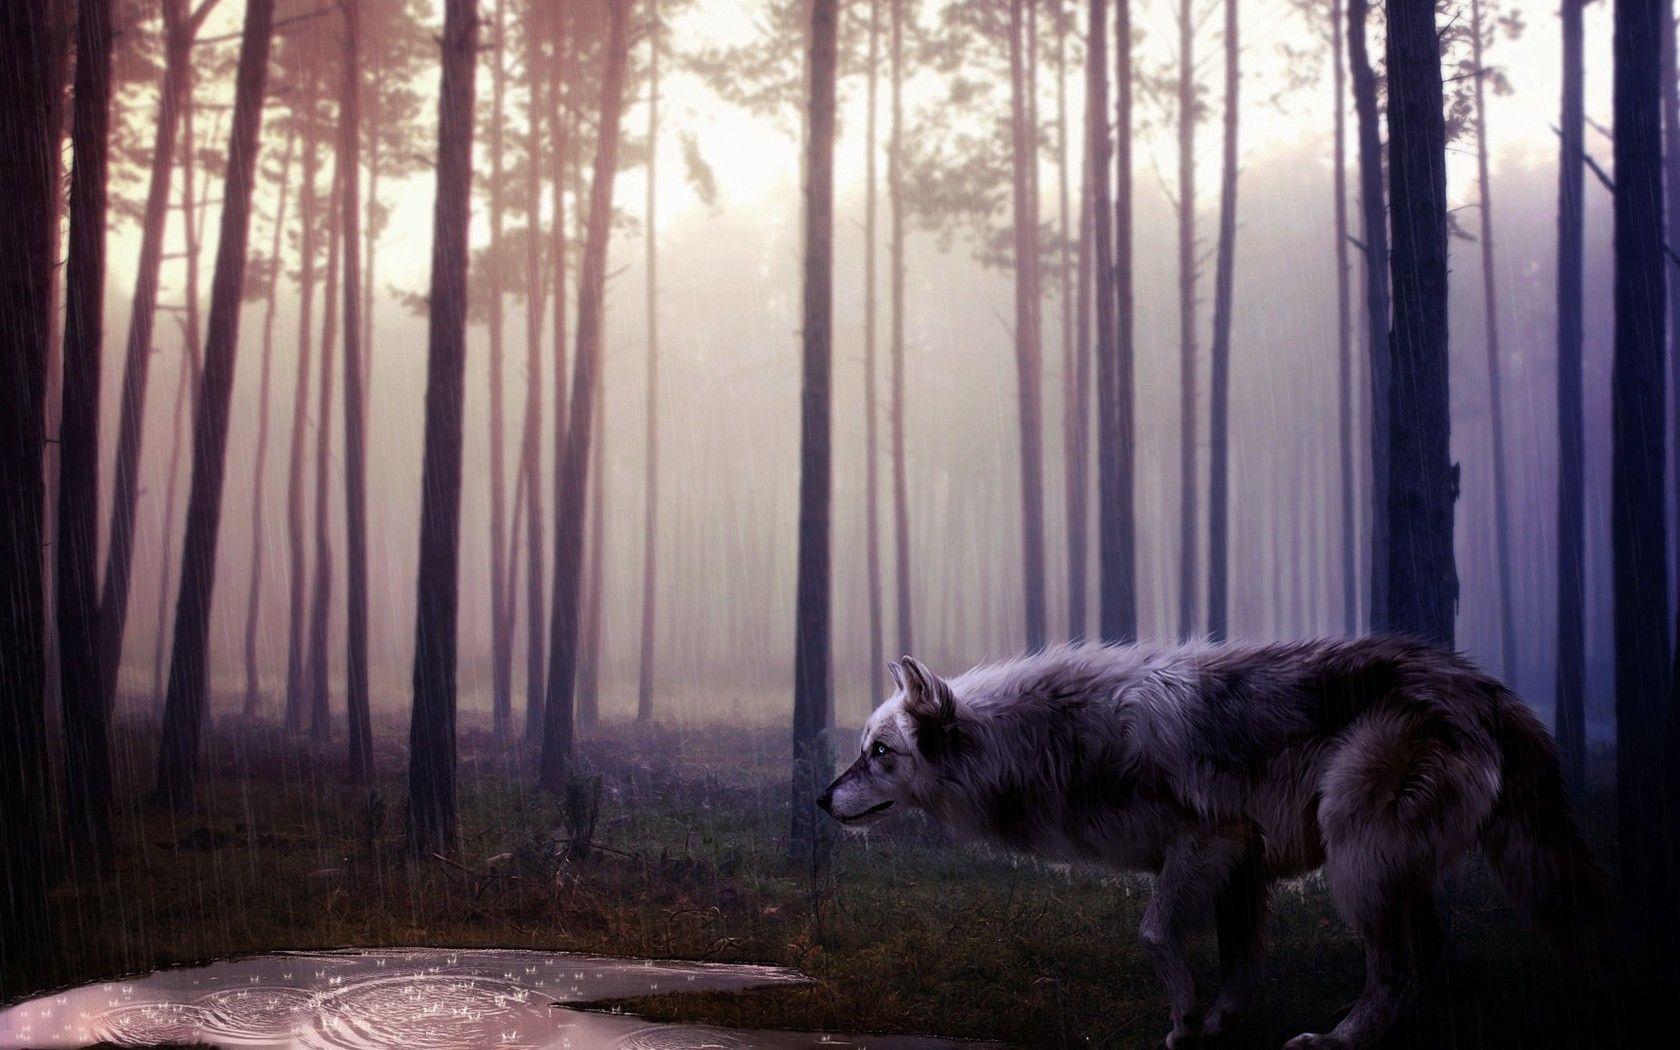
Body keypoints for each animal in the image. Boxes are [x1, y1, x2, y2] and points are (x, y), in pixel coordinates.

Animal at [817, 637, 1611, 1048]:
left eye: (879, 753)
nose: (821, 799)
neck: (1057, 740)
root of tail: (1484, 687)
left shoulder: (1210, 842)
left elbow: (1153, 933)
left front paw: (1183, 1017)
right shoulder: (1243, 867)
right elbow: (1240, 961)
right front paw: (1219, 1021)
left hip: (1358, 860)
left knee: (1397, 965)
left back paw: (1338, 1042)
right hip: (1386, 866)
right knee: (1428, 952)